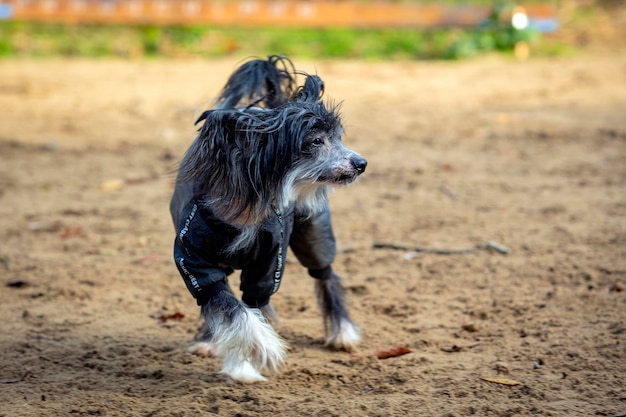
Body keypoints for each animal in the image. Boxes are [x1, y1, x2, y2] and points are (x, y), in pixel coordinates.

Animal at [169, 55, 366, 384]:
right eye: (316, 141)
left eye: (338, 137)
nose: (361, 163)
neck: (245, 212)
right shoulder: (196, 263)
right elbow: (232, 310)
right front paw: (254, 357)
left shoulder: (267, 266)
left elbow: (252, 310)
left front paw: (249, 361)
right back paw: (208, 342)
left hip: (314, 231)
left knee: (325, 276)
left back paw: (343, 333)